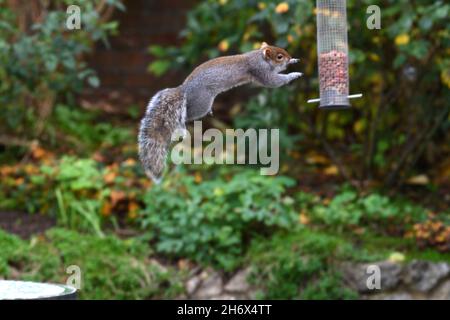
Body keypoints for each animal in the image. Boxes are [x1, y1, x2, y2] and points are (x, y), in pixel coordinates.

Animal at [138, 42, 302, 182]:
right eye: (279, 56)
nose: (289, 57)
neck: (259, 57)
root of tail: (184, 89)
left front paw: (294, 61)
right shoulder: (260, 71)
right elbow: (274, 81)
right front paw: (294, 75)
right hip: (201, 103)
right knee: (186, 116)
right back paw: (182, 128)